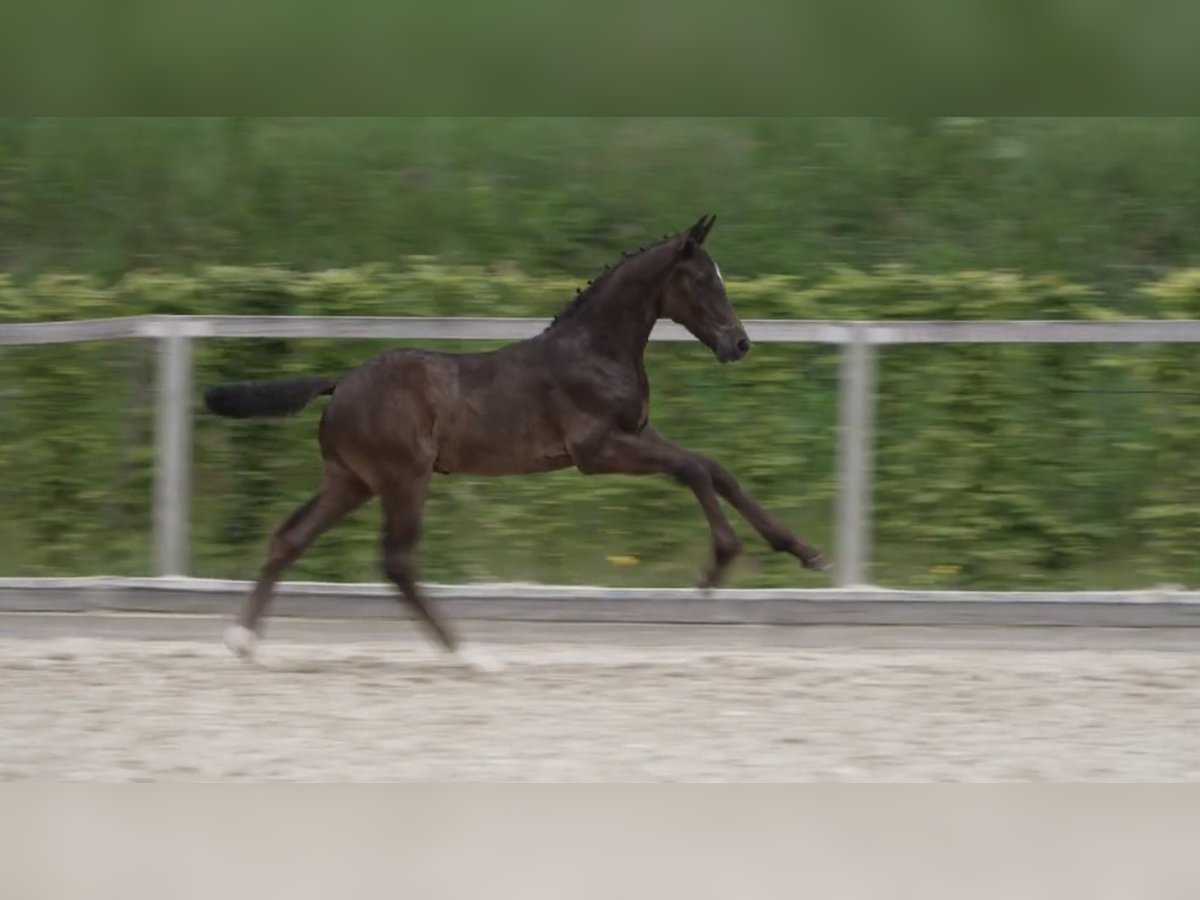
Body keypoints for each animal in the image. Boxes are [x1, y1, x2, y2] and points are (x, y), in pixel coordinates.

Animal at [204, 217, 825, 672]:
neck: (594, 352)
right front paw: (718, 564)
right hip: (404, 478)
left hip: (351, 481)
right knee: (398, 561)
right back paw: (469, 654)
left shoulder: (635, 434)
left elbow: (716, 467)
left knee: (290, 538)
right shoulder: (597, 452)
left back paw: (244, 640)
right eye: (701, 280)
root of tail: (339, 384)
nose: (739, 344)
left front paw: (803, 550)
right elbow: (694, 469)